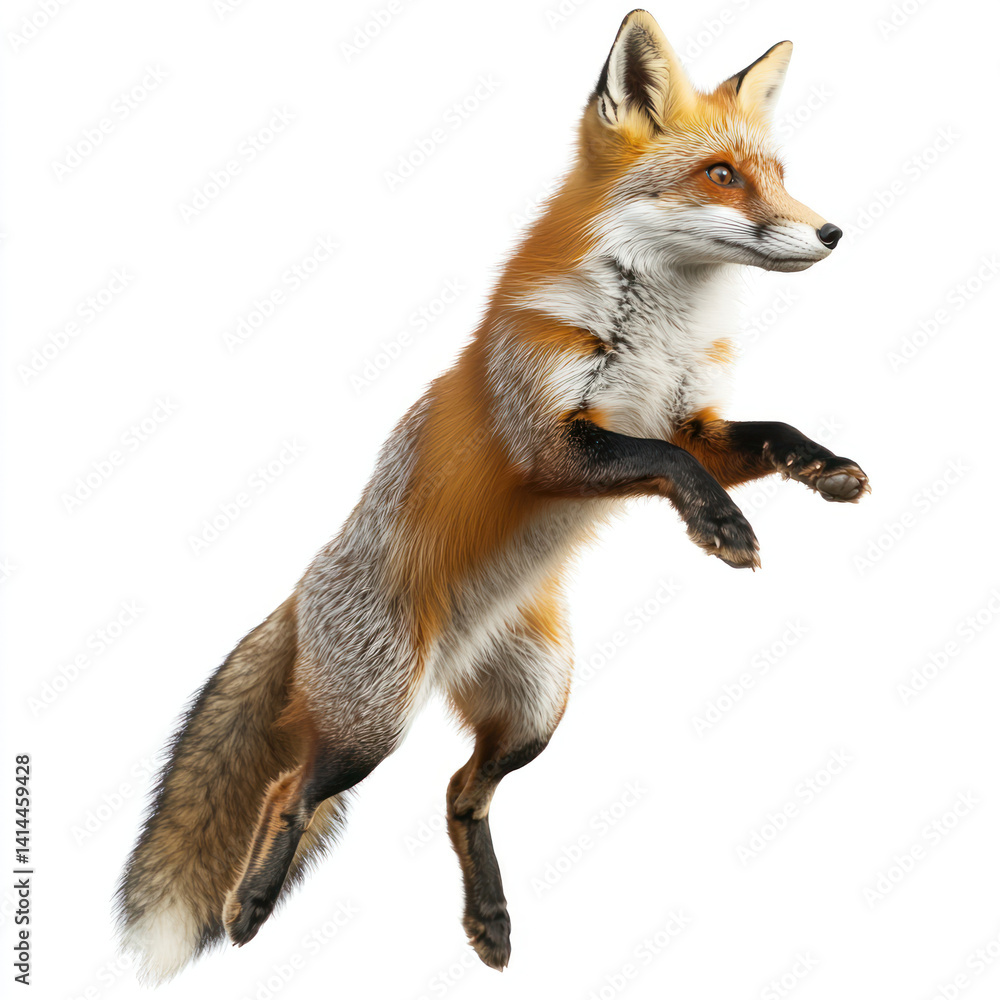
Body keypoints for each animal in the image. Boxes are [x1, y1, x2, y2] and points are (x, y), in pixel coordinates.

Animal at [117, 8, 869, 983]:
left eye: (777, 173)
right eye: (720, 175)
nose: (833, 232)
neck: (657, 334)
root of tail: (301, 593)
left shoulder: (690, 419)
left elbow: (764, 434)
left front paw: (827, 468)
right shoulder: (544, 442)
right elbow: (668, 464)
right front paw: (722, 523)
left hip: (536, 710)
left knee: (459, 793)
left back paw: (490, 921)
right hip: (372, 725)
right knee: (291, 786)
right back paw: (249, 903)